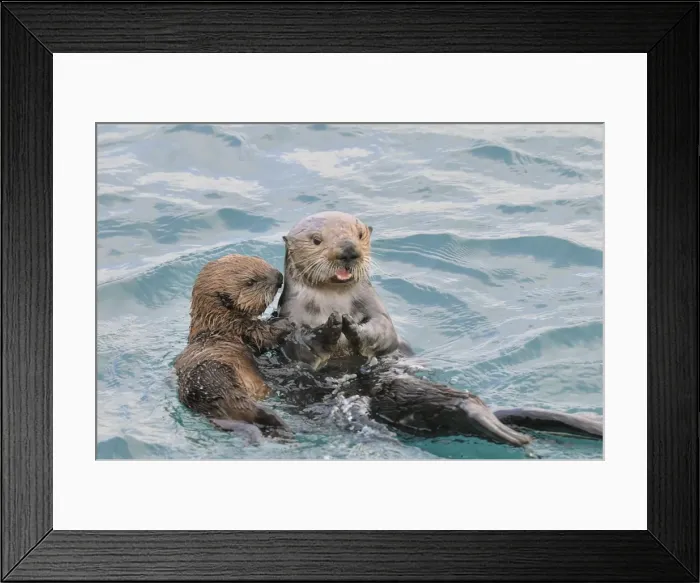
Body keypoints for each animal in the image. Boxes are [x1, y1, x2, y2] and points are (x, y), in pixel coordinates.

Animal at [174, 254, 295, 438]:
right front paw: (285, 322)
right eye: (251, 281)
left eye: (258, 259)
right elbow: (265, 335)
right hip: (214, 374)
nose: (279, 277)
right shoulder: (240, 329)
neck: (217, 322)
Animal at [274, 211, 603, 446]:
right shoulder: (290, 319)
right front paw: (327, 331)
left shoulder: (376, 308)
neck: (333, 301)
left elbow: (385, 333)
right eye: (317, 240)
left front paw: (354, 328)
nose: (348, 249)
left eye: (359, 234)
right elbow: (299, 346)